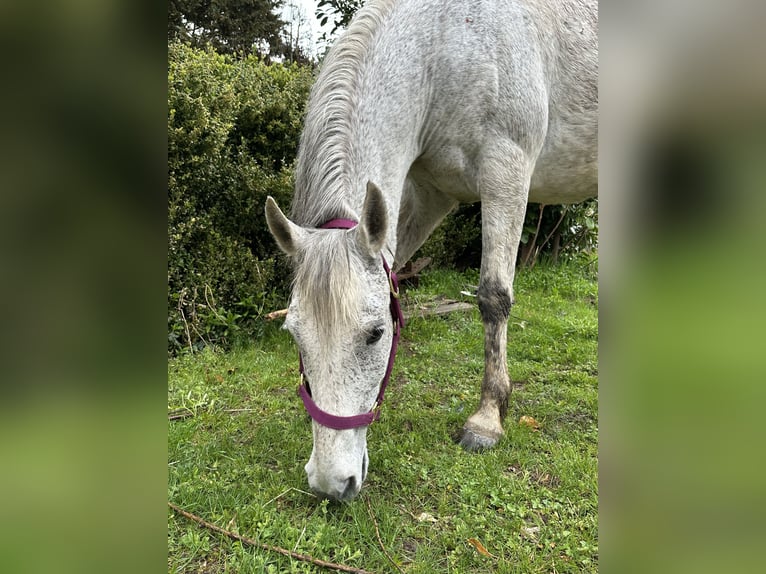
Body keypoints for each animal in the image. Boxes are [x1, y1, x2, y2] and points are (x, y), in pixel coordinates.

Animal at [266, 0, 600, 502]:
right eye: (294, 335)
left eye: (375, 334)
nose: (331, 482)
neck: (447, 41)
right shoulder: (428, 194)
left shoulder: (506, 171)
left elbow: (493, 297)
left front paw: (487, 419)